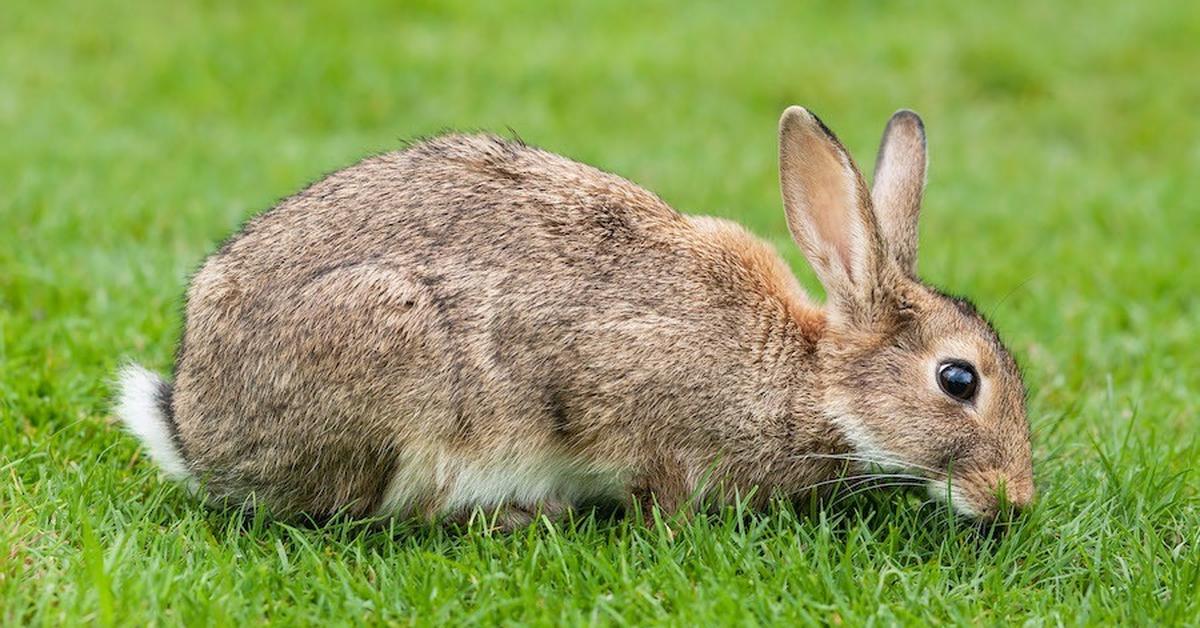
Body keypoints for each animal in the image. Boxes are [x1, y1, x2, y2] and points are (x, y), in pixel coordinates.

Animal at [121, 106, 1036, 525]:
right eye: (959, 380)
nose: (1016, 499)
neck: (811, 380)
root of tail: (194, 427)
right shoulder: (633, 399)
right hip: (398, 368)